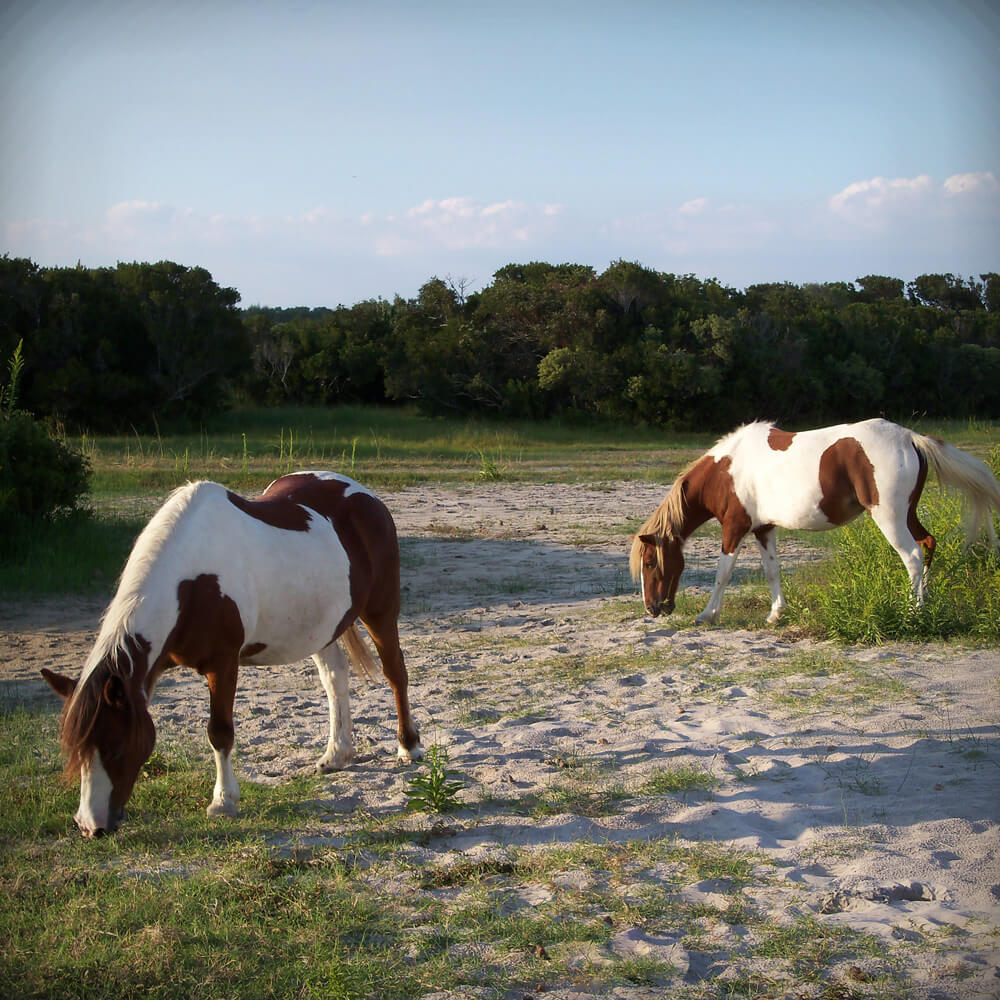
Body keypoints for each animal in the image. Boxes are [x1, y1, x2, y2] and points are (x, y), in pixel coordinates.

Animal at [38, 470, 422, 836]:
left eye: (115, 747)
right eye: (76, 751)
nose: (90, 826)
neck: (191, 582)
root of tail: (364, 495)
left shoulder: (222, 664)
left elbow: (219, 732)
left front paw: (223, 801)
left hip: (381, 611)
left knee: (395, 674)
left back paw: (408, 746)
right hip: (324, 627)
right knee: (335, 682)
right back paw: (336, 755)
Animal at [632, 420, 1000, 624]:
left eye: (650, 562)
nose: (652, 609)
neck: (727, 469)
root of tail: (909, 437)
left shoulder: (734, 528)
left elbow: (723, 574)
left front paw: (708, 615)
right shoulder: (764, 529)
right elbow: (772, 571)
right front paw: (775, 614)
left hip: (890, 517)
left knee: (912, 556)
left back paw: (914, 612)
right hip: (908, 514)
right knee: (928, 543)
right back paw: (927, 601)